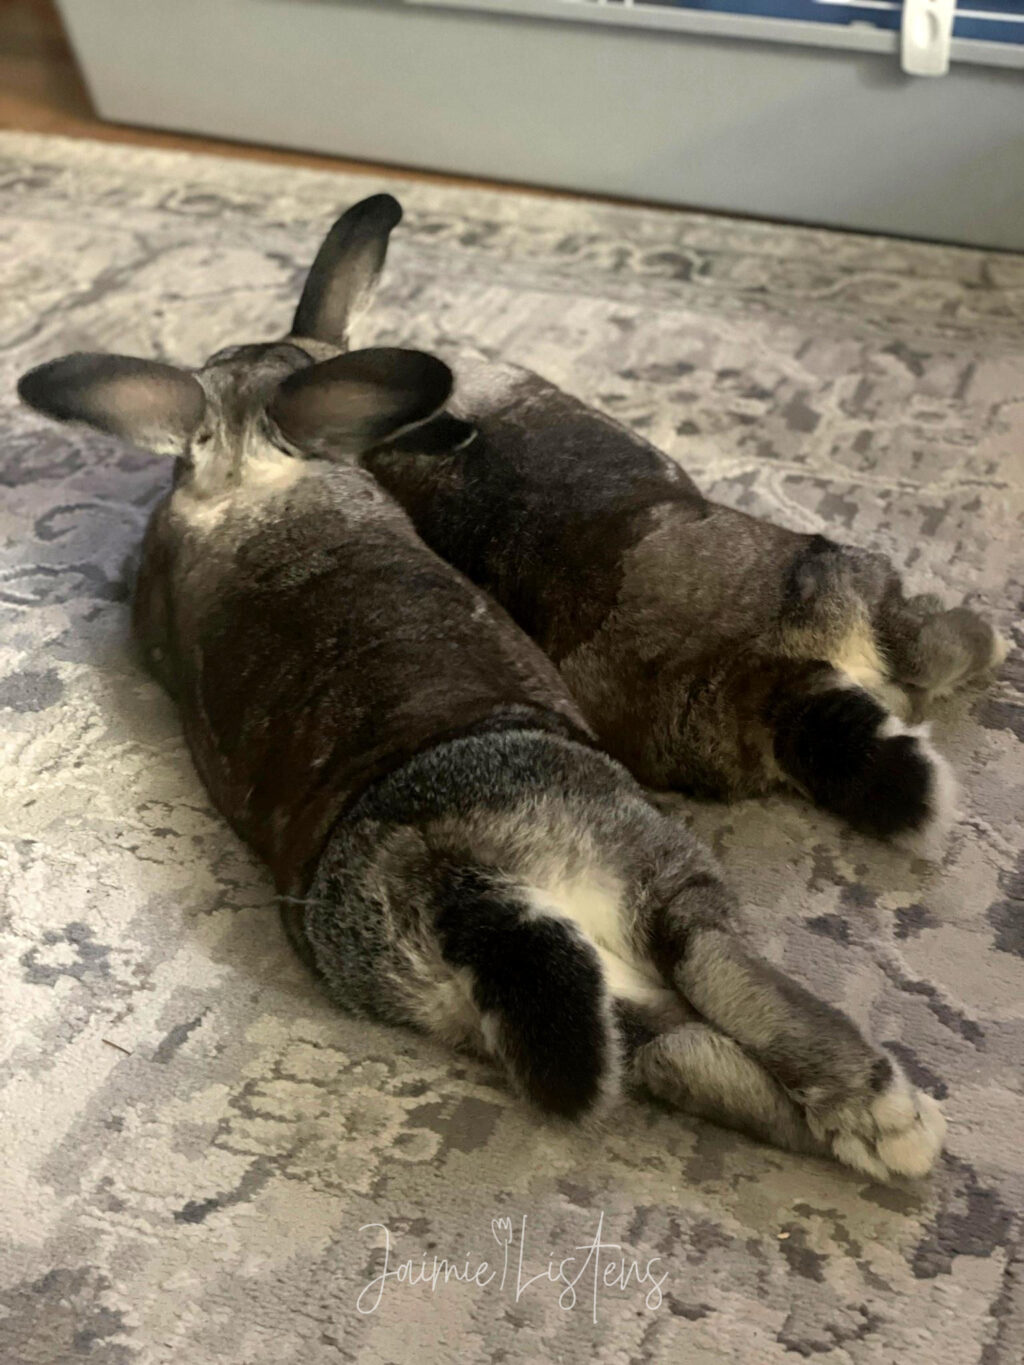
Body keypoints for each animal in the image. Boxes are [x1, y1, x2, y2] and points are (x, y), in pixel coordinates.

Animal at [16, 337, 945, 1180]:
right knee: (718, 968)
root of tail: (461, 884)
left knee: (682, 1054)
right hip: (653, 863)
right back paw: (896, 1119)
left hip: (599, 990)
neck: (243, 477)